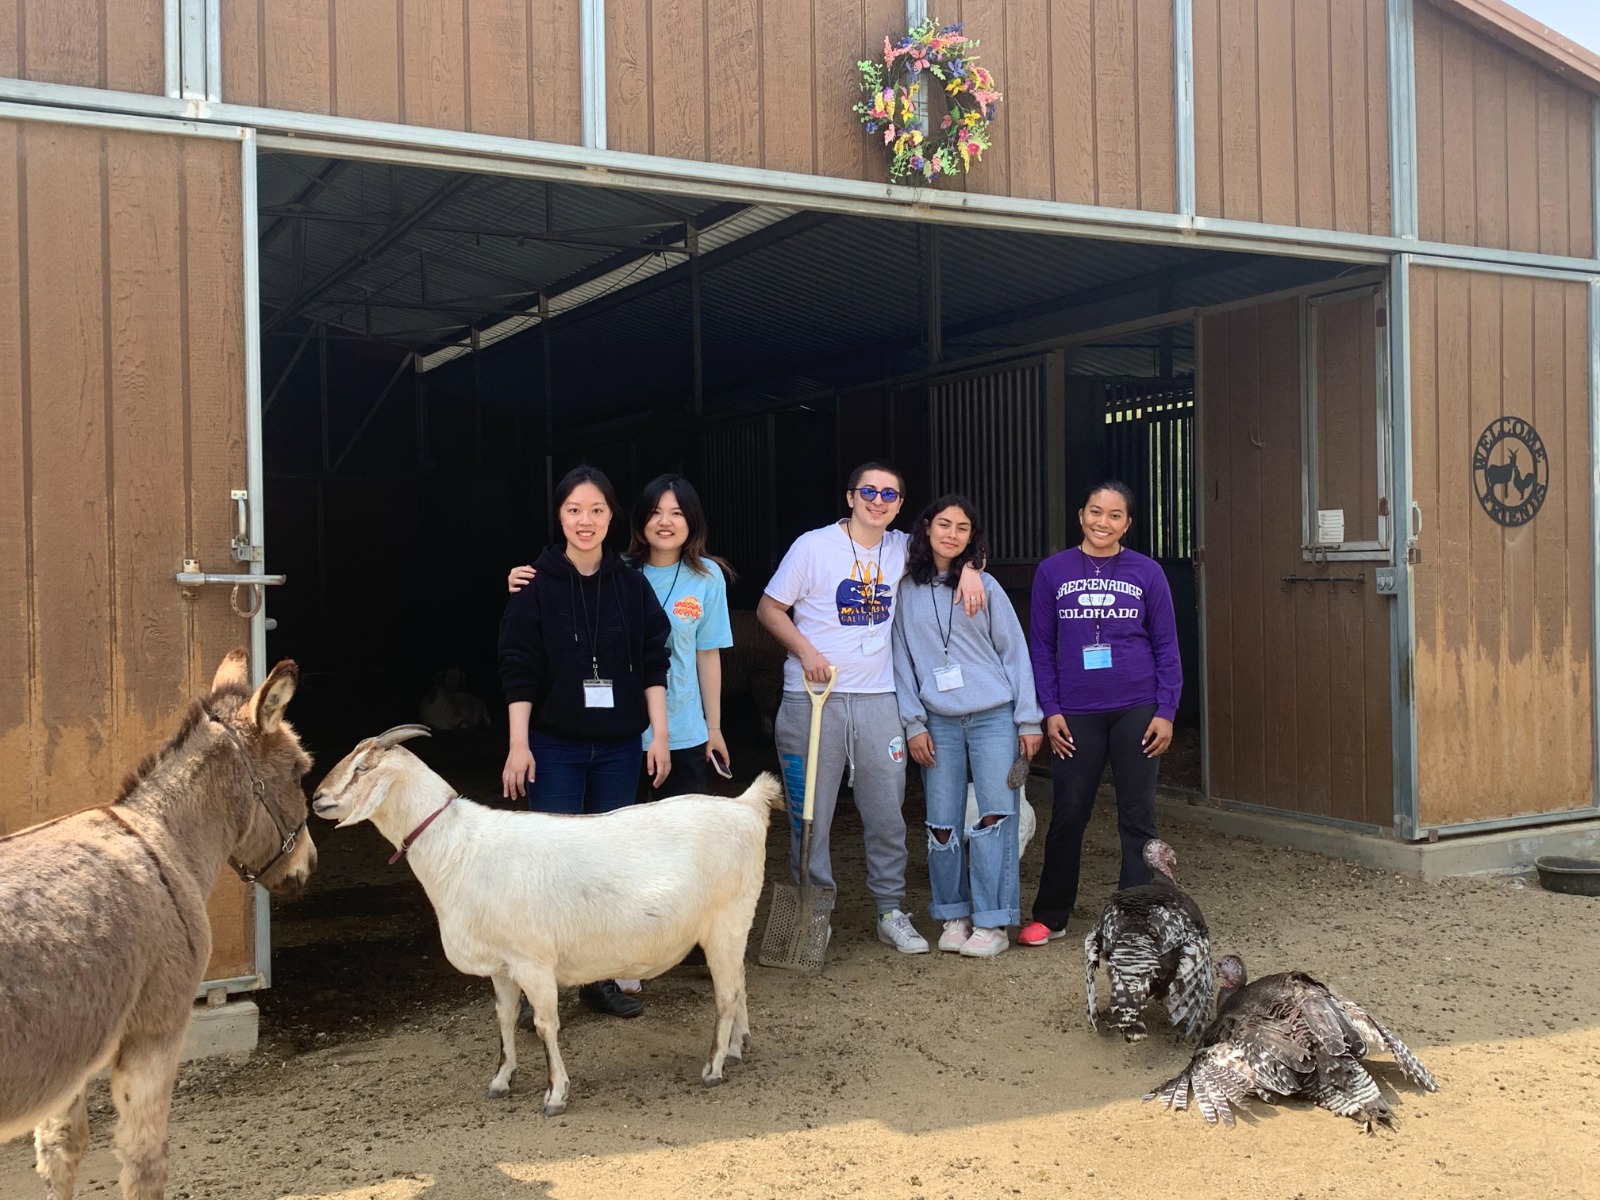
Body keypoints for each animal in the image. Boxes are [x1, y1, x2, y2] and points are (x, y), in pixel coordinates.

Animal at [310, 729, 780, 1126]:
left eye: (363, 768)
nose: (316, 799)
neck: (458, 848)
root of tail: (746, 806)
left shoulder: (532, 960)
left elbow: (545, 1025)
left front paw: (556, 1094)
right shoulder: (501, 965)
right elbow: (503, 1018)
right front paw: (501, 1079)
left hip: (727, 919)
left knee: (726, 993)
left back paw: (714, 1066)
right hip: (734, 926)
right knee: (739, 982)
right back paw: (737, 1047)